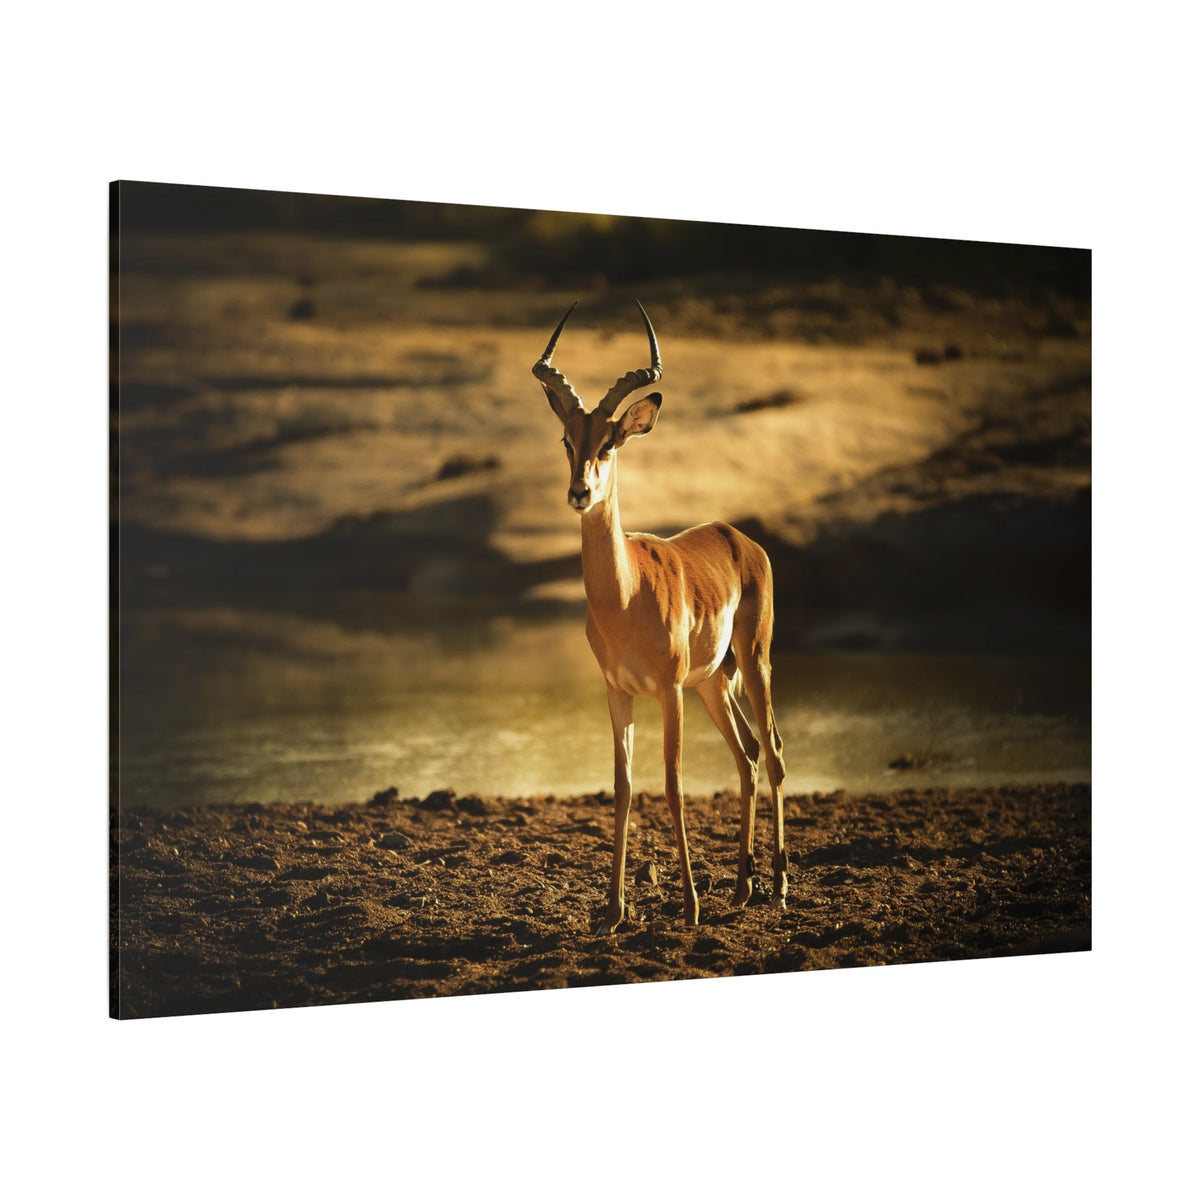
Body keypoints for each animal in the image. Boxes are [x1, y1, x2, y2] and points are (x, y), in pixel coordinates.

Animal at [534, 301, 788, 933]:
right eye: (567, 438)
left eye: (610, 443)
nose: (579, 492)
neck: (624, 597)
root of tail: (740, 538)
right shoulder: (617, 691)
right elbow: (624, 787)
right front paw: (612, 910)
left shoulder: (668, 690)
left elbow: (672, 785)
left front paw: (691, 904)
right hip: (714, 683)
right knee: (748, 755)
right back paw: (742, 888)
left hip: (752, 661)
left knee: (773, 751)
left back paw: (777, 888)